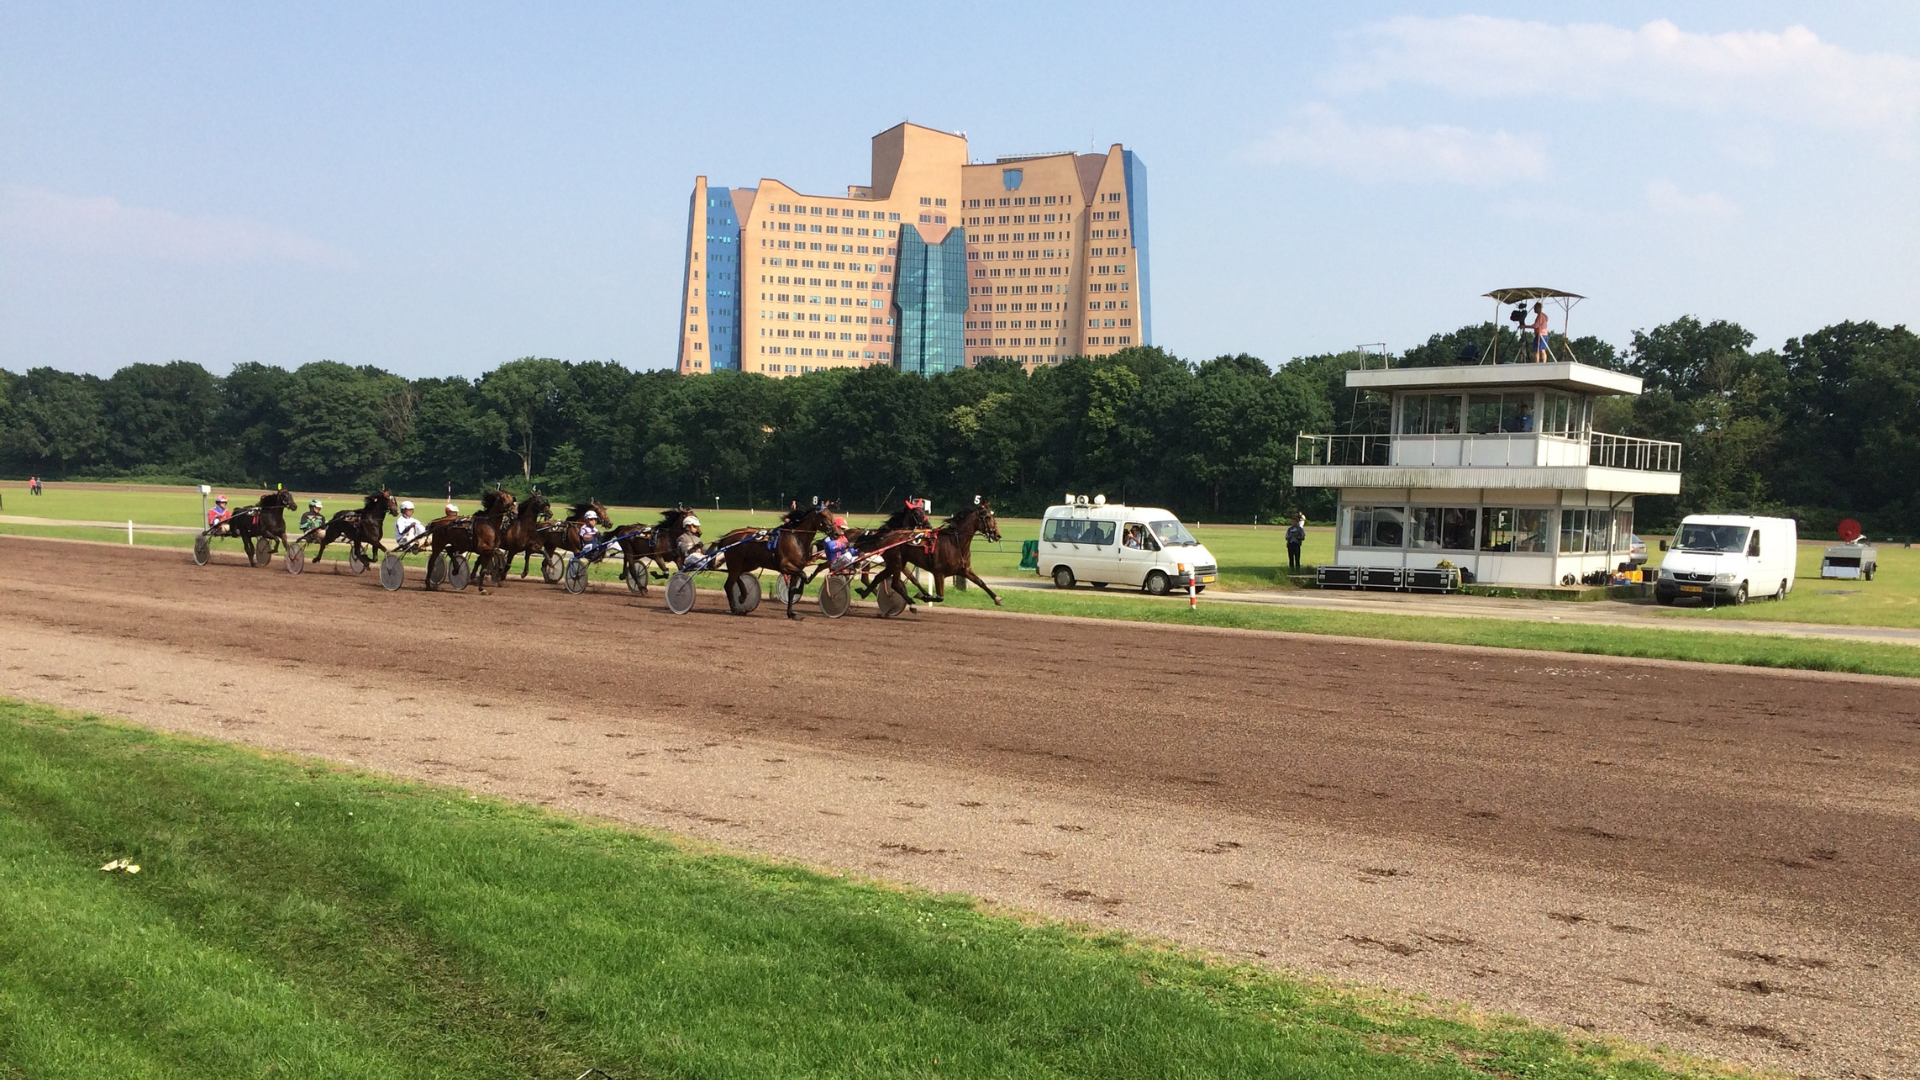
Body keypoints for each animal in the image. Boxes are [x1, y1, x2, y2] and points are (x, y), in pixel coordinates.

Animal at [867, 495, 1006, 607]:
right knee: (894, 584)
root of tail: (888, 535)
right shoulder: (939, 573)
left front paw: (997, 599)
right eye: (987, 517)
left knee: (881, 578)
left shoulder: (965, 570)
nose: (998, 535)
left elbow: (981, 582)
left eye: (992, 516)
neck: (955, 543)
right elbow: (940, 597)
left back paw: (865, 592)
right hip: (896, 562)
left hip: (896, 563)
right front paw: (923, 596)